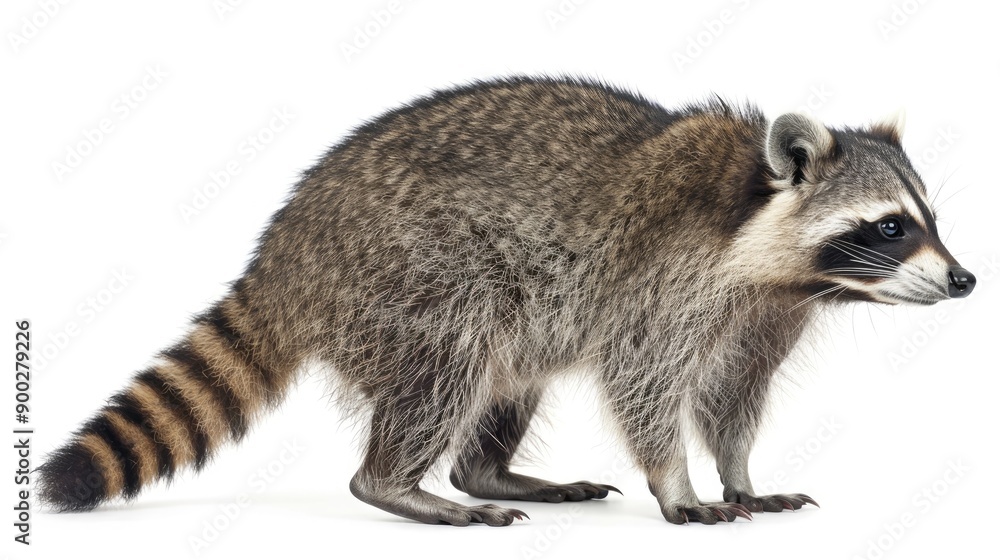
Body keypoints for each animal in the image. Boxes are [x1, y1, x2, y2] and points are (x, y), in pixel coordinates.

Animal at [38, 77, 976, 526]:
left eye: (928, 220)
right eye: (890, 227)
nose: (965, 280)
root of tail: (286, 249)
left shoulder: (762, 315)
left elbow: (733, 394)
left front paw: (741, 474)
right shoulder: (661, 282)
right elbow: (643, 383)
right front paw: (676, 481)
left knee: (506, 376)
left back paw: (485, 468)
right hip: (412, 274)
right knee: (447, 363)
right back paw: (400, 485)